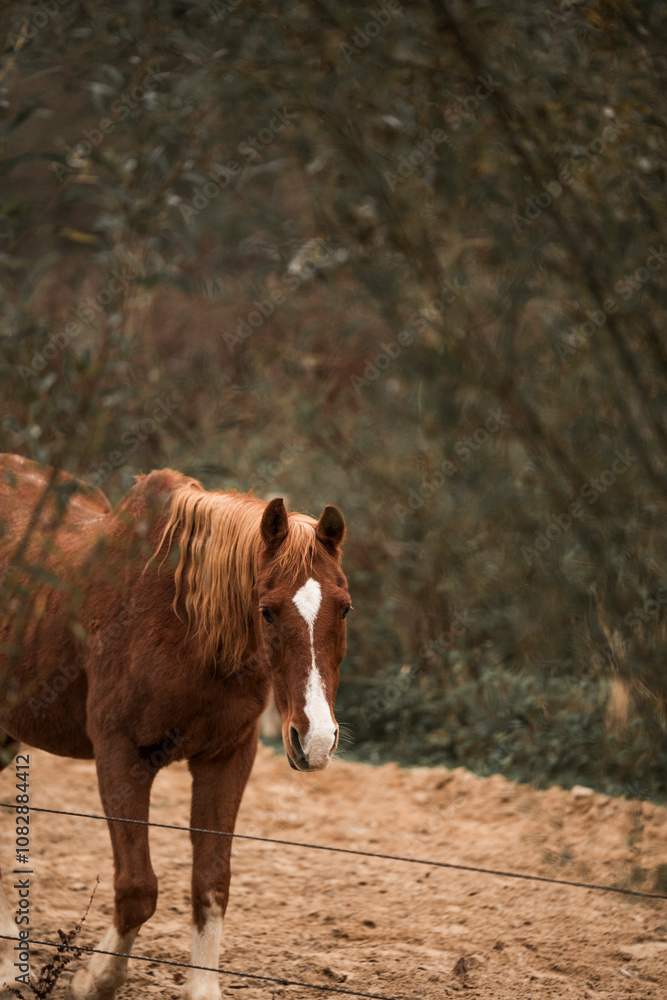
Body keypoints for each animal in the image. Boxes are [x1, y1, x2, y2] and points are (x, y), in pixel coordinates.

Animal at [0, 453, 350, 1000]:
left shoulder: (227, 758)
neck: (186, 630)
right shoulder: (120, 755)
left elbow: (211, 882)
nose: (315, 740)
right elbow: (137, 888)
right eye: (267, 611)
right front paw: (95, 980)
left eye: (345, 608)